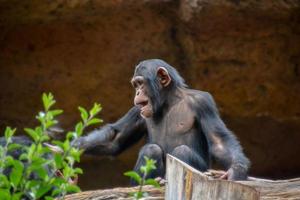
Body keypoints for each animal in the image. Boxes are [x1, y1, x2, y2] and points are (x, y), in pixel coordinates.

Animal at [74, 58, 250, 180]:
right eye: (135, 85)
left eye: (140, 83)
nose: (137, 92)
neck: (168, 102)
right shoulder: (136, 112)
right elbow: (115, 140)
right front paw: (72, 147)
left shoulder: (204, 103)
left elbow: (219, 142)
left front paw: (235, 171)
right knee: (151, 150)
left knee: (182, 151)